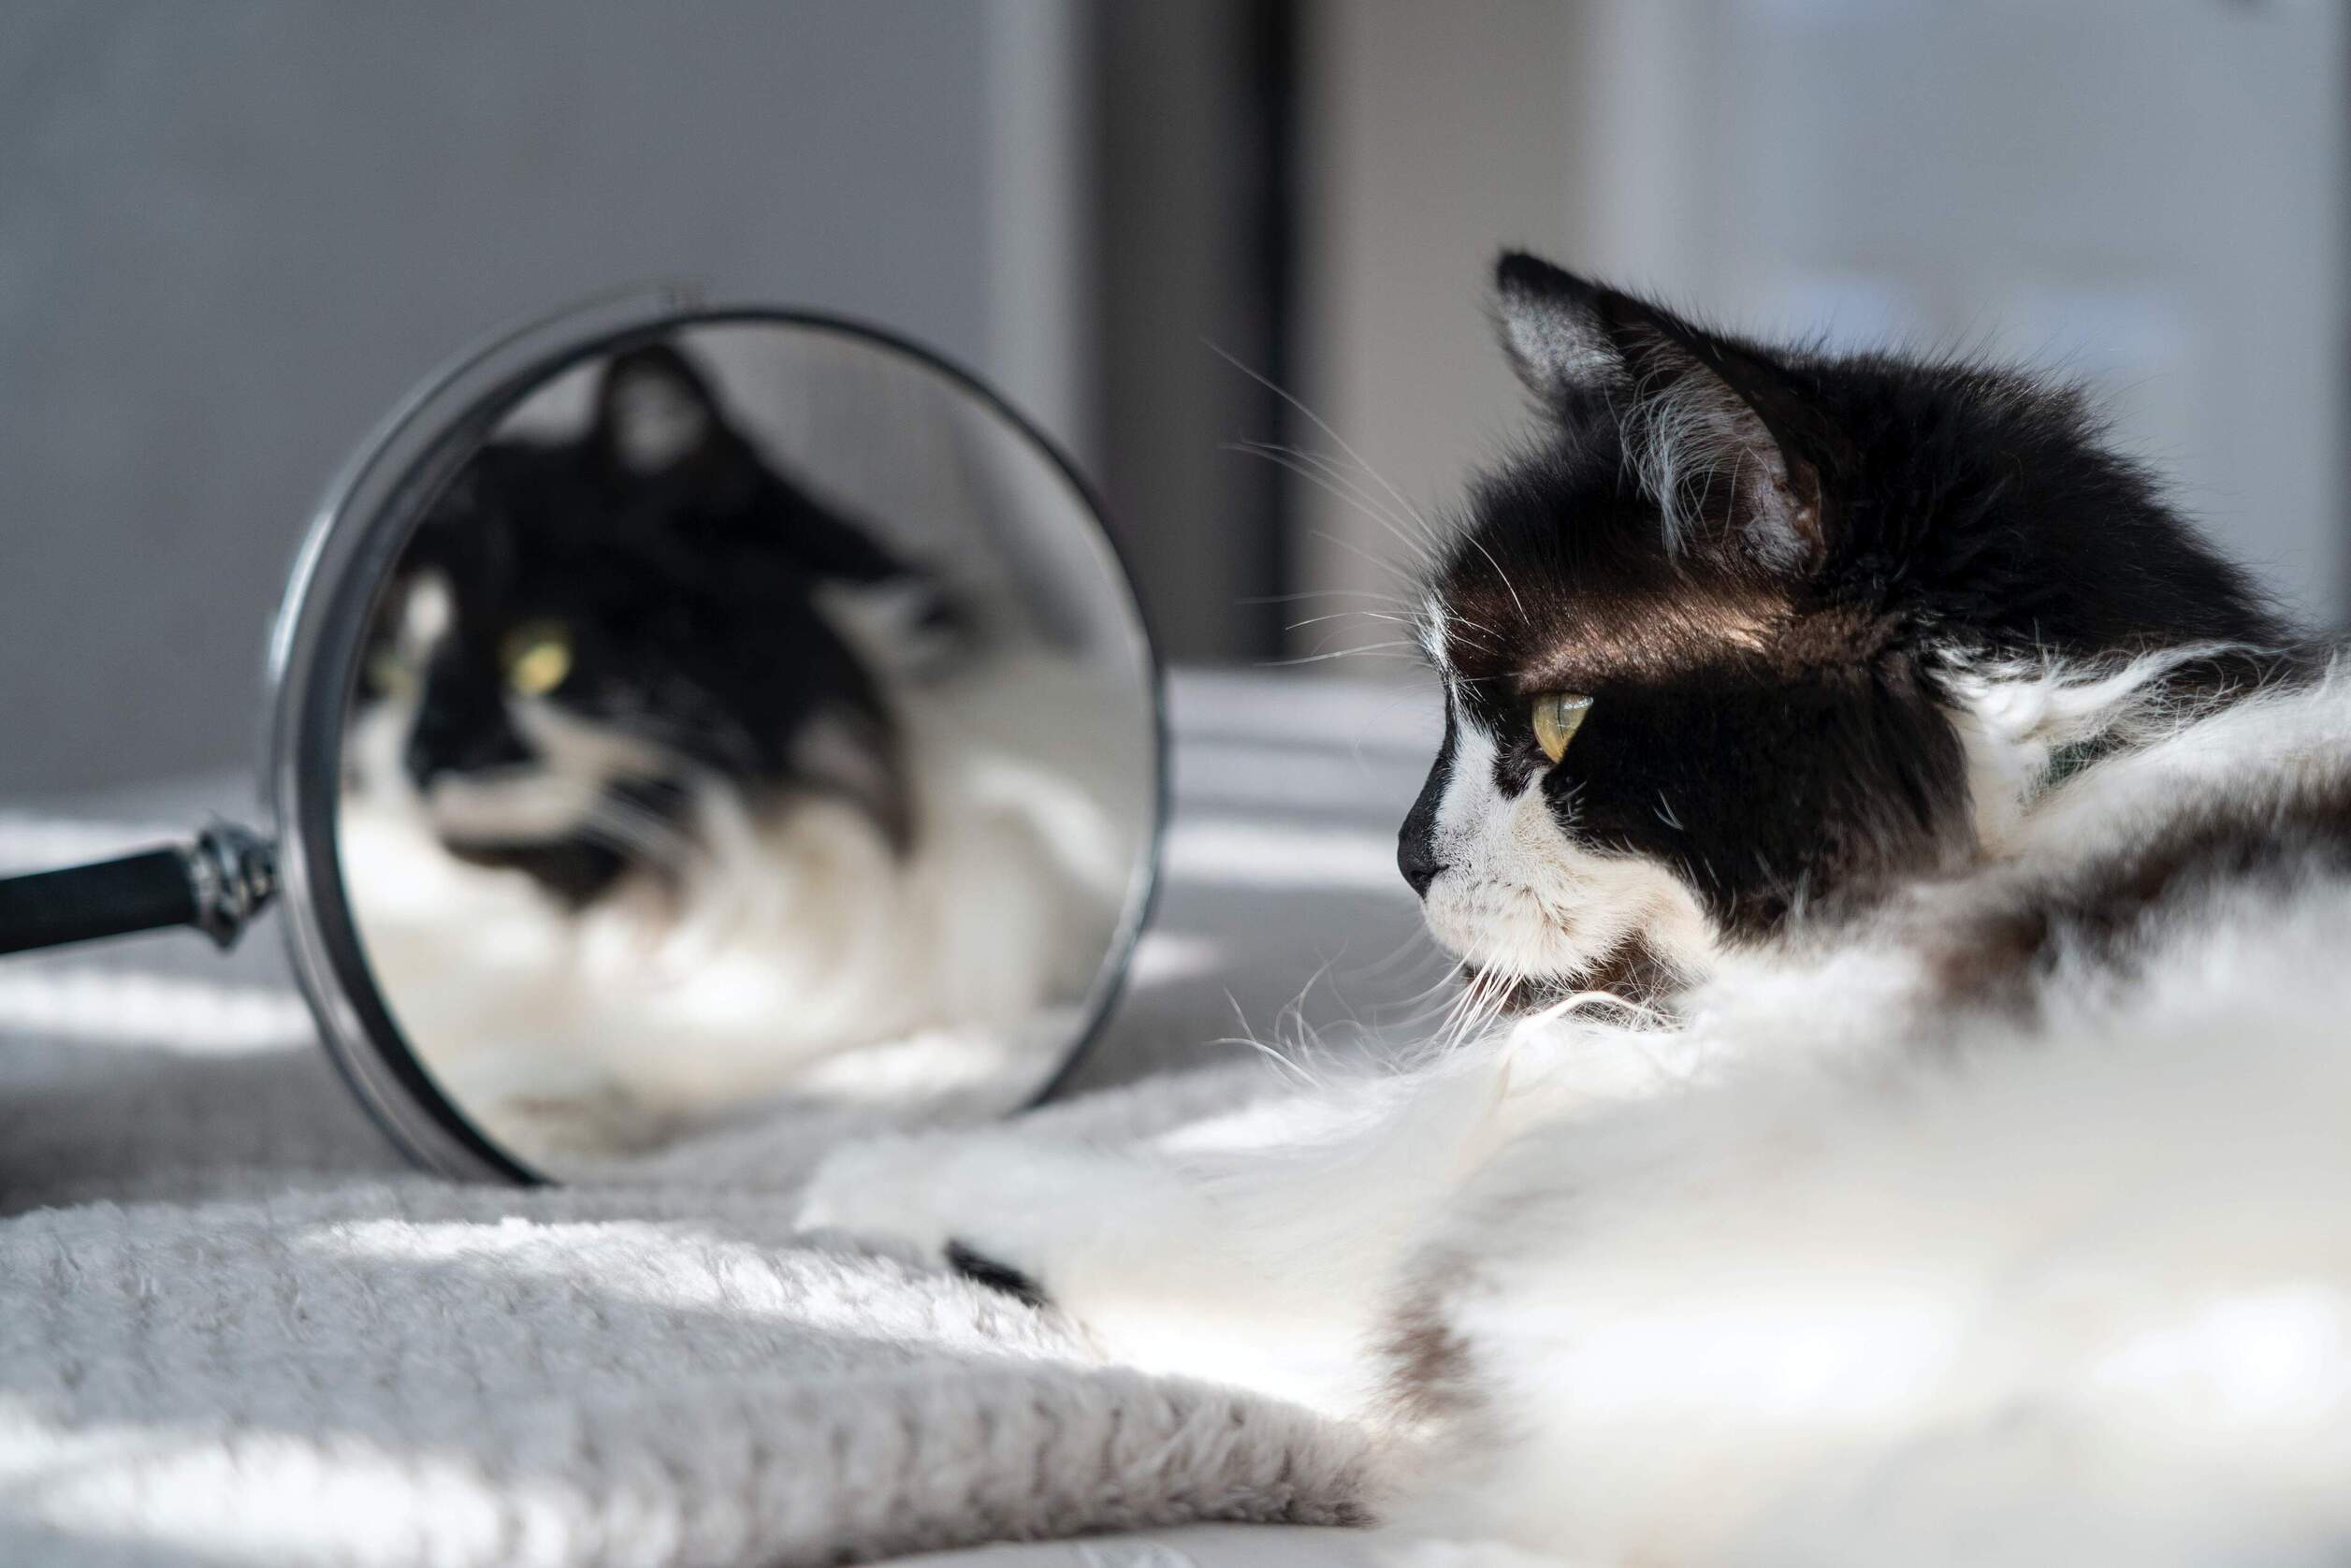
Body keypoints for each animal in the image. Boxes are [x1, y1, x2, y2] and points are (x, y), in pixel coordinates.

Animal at [799, 251, 2351, 1561]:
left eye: (1553, 726)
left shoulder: (1457, 1271)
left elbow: (1117, 1193)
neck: (2040, 811)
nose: (1406, 855)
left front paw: (854, 1175)